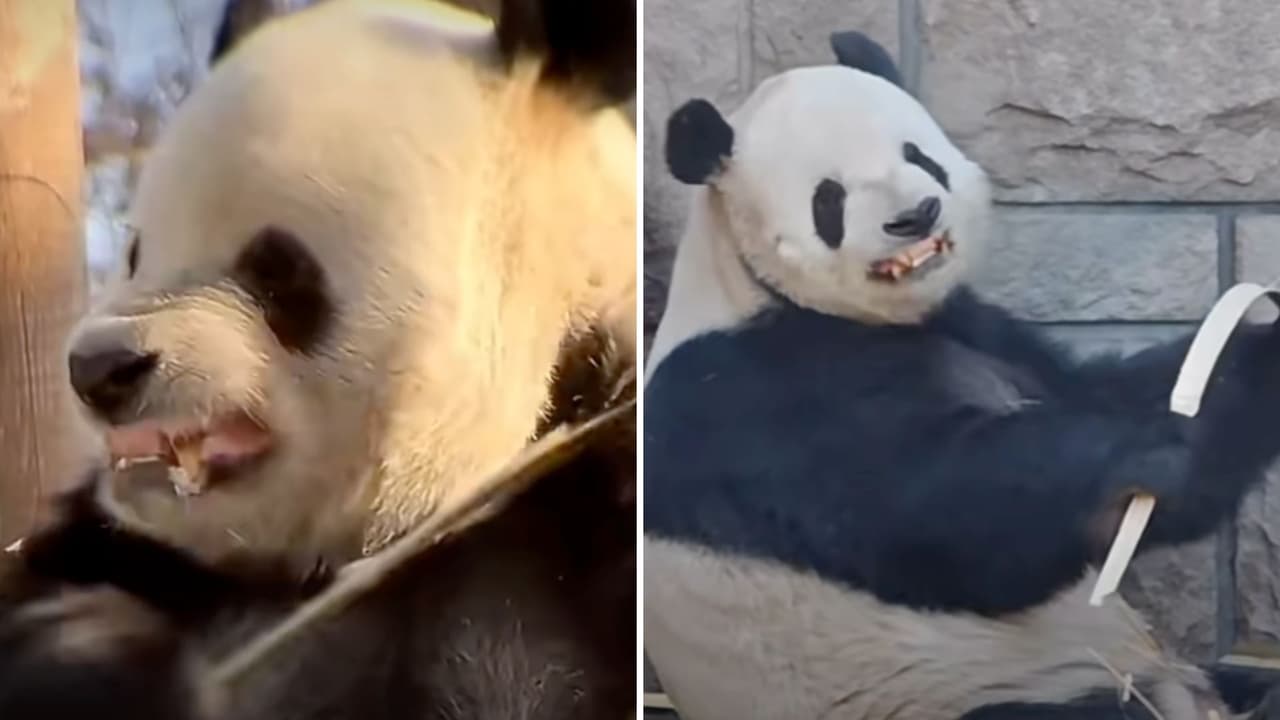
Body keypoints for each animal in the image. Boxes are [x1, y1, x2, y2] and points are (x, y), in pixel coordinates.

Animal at [643, 30, 1280, 720]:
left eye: (918, 155)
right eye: (829, 197)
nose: (915, 216)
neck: (752, 286)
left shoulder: (969, 322)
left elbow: (1099, 390)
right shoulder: (751, 398)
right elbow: (940, 515)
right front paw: (1151, 456)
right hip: (972, 693)